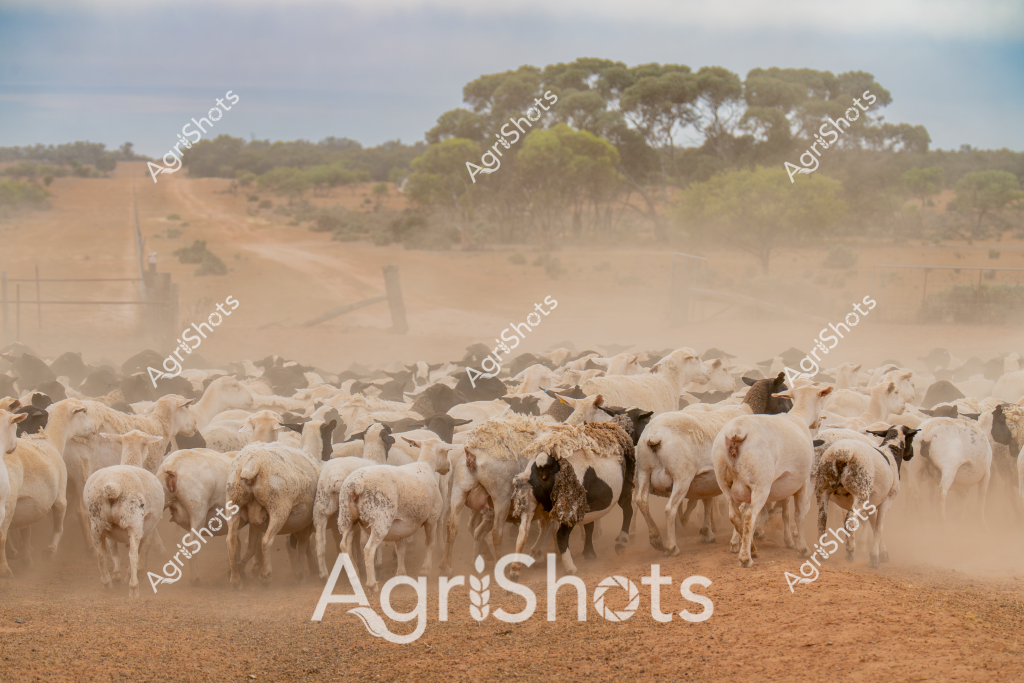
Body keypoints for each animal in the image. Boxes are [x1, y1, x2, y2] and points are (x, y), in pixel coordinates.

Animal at [84, 431, 166, 598]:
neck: (131, 461)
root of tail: (114, 486)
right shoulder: (149, 528)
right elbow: (143, 550)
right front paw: (134, 573)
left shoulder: (110, 532)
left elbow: (114, 552)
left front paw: (117, 574)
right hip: (133, 522)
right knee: (133, 555)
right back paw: (134, 588)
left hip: (97, 525)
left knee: (101, 555)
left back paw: (107, 583)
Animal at [338, 436, 453, 591]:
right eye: (446, 452)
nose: (448, 468)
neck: (426, 465)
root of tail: (356, 486)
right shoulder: (432, 518)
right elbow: (430, 543)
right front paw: (425, 569)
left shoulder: (400, 525)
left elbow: (400, 549)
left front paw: (401, 574)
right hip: (380, 519)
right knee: (368, 549)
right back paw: (372, 584)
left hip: (346, 517)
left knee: (344, 546)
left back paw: (354, 574)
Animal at [712, 383, 834, 567]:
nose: (818, 422)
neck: (798, 417)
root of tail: (737, 431)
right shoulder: (802, 481)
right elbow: (799, 514)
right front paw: (802, 548)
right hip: (761, 483)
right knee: (750, 516)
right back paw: (746, 558)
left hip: (724, 481)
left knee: (735, 515)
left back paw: (751, 549)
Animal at [814, 426, 918, 567]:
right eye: (911, 437)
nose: (911, 454)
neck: (891, 451)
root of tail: (842, 454)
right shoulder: (887, 500)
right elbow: (879, 527)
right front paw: (875, 558)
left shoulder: (871, 504)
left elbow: (874, 525)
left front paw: (883, 554)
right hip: (860, 492)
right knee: (850, 519)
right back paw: (850, 553)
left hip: (822, 488)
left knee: (822, 518)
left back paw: (822, 554)